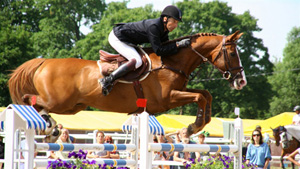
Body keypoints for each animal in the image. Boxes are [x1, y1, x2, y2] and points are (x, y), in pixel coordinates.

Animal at [8, 30, 247, 141]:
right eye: (232, 53)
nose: (241, 81)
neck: (172, 61)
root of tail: (44, 62)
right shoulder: (167, 98)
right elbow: (200, 97)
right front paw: (191, 128)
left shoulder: (177, 93)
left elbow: (205, 94)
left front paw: (194, 126)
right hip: (59, 101)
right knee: (31, 101)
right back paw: (48, 126)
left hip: (73, 106)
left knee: (39, 105)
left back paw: (52, 130)